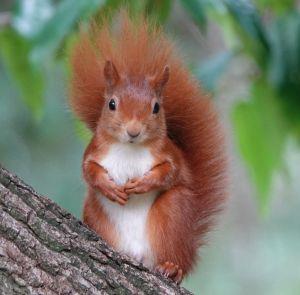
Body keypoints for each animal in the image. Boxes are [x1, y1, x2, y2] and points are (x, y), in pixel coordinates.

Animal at [69, 13, 226, 284]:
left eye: (156, 107)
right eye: (111, 104)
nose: (133, 131)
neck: (129, 149)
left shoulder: (169, 154)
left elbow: (171, 172)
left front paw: (142, 184)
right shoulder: (95, 150)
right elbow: (88, 170)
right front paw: (109, 187)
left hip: (173, 214)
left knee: (176, 257)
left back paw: (172, 268)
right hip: (96, 213)